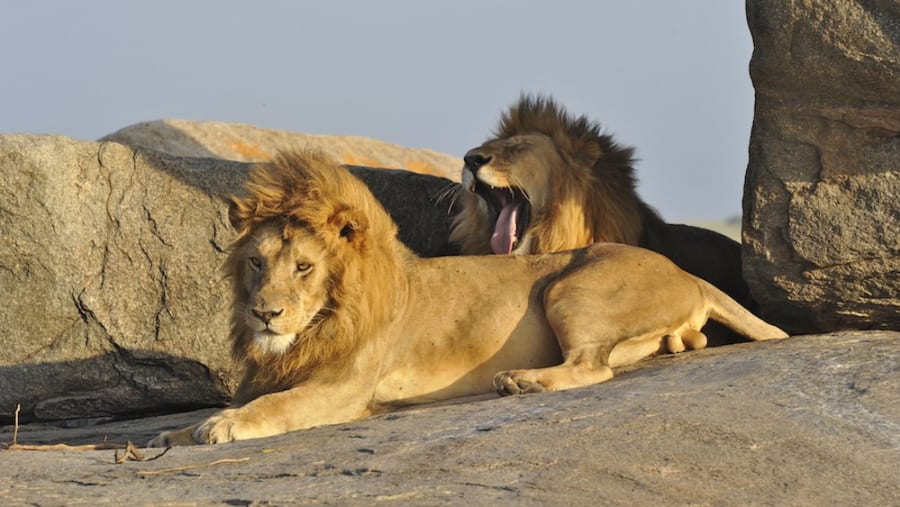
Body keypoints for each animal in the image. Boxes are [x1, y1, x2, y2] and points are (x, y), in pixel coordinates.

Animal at [149, 150, 787, 446]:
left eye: (304, 267)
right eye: (256, 263)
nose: (264, 312)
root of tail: (687, 272)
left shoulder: (343, 389)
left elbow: (274, 408)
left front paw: (222, 426)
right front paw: (172, 433)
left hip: (568, 286)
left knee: (592, 368)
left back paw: (522, 381)